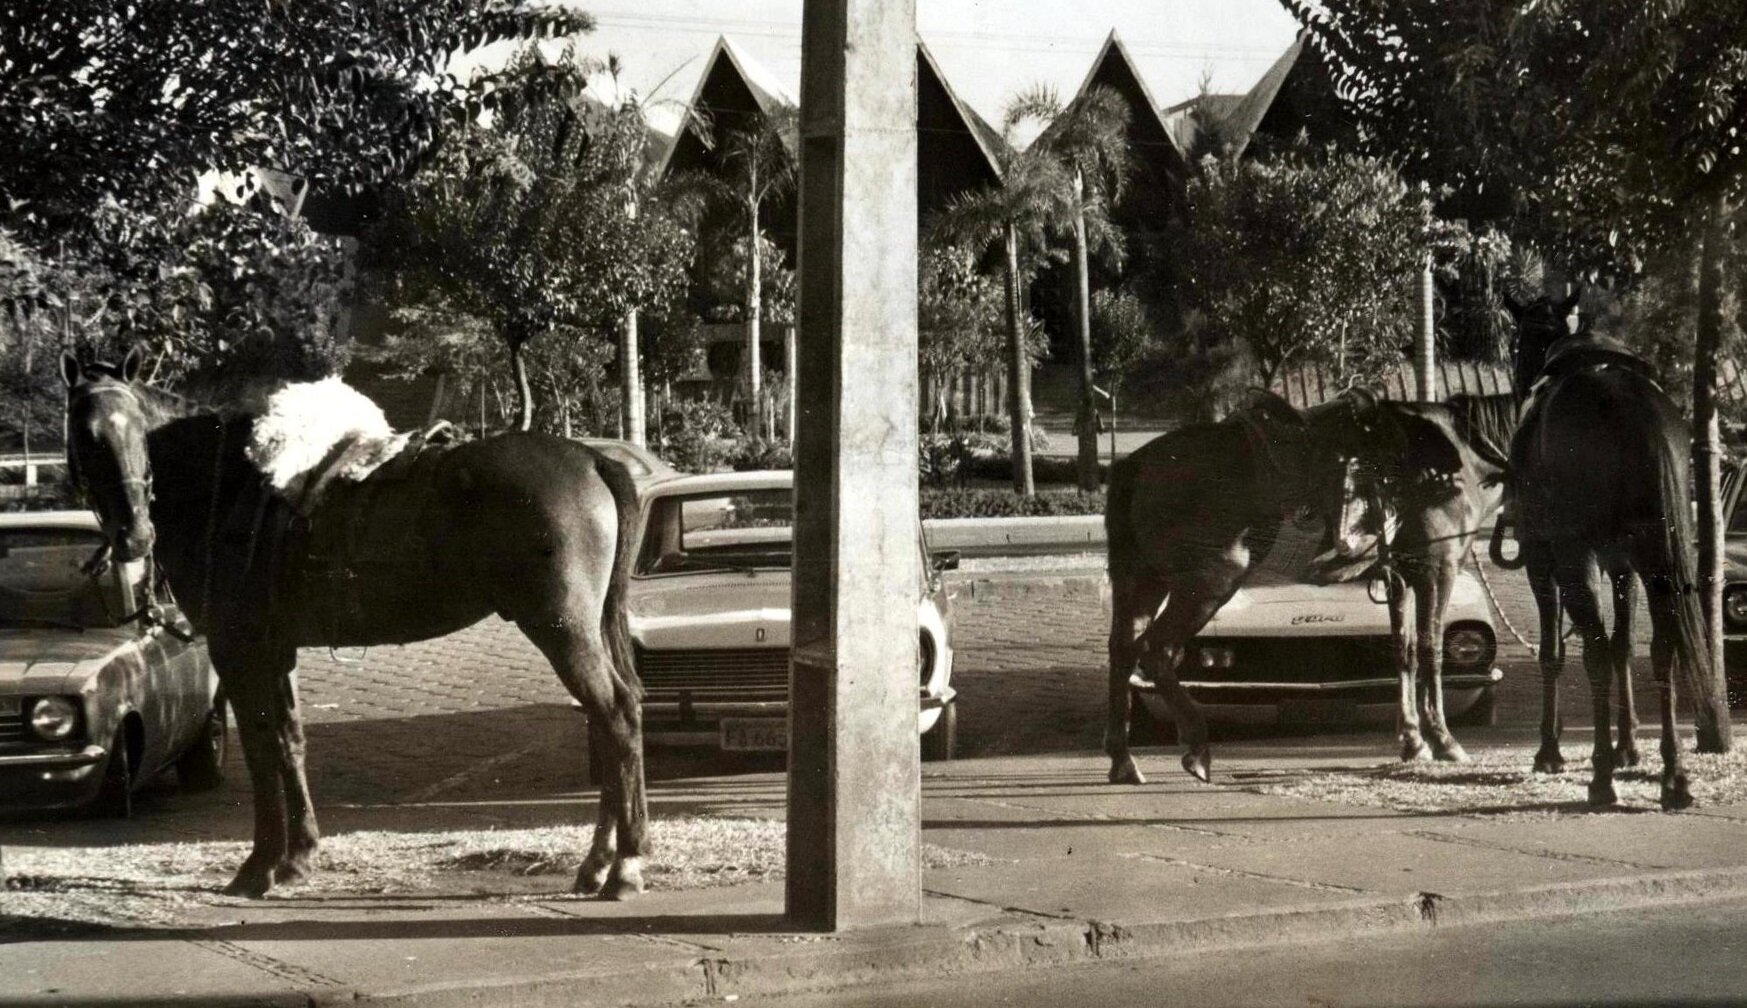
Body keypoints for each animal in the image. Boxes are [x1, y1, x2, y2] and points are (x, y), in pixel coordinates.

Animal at [61, 347, 653, 894]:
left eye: (135, 430)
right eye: (86, 437)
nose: (134, 534)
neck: (224, 485)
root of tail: (591, 459)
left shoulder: (238, 647)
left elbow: (260, 745)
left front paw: (259, 867)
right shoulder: (277, 649)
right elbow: (290, 741)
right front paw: (297, 857)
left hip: (562, 629)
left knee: (616, 714)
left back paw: (624, 864)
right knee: (609, 719)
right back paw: (601, 861)